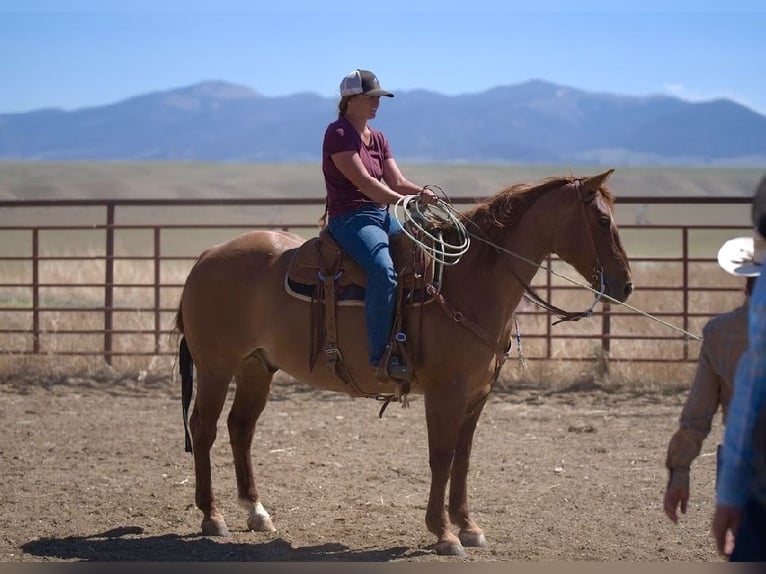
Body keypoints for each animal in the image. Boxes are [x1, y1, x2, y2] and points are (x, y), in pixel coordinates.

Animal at [174, 169, 633, 556]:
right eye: (601, 221)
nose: (625, 286)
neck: (466, 281)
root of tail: (209, 253)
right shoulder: (445, 393)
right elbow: (441, 457)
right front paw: (444, 533)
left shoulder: (477, 395)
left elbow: (463, 459)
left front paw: (468, 527)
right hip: (216, 367)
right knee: (204, 428)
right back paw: (212, 516)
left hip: (256, 366)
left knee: (240, 428)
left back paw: (256, 512)